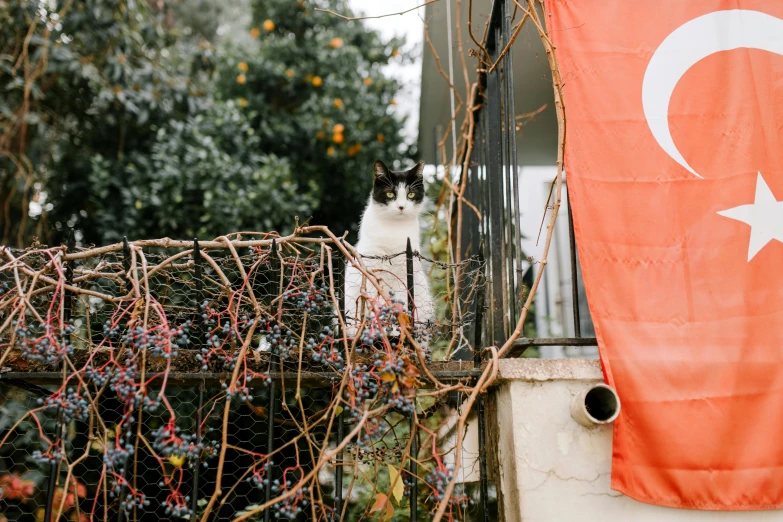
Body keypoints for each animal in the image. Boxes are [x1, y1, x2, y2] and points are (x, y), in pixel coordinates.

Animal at [344, 158, 434, 334]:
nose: (401, 207)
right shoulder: (371, 268)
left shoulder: (405, 274)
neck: (394, 228)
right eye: (390, 194)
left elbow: (401, 302)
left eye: (410, 194)